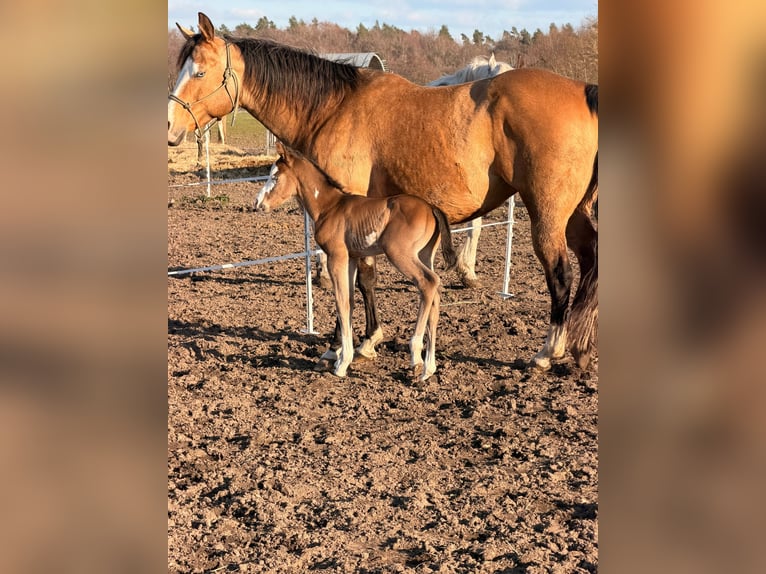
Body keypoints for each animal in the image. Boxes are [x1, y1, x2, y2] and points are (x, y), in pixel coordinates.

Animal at [257, 143, 457, 381]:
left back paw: (416, 357)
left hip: (400, 254)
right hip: (425, 255)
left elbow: (341, 302)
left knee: (428, 283)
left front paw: (342, 363)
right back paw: (429, 368)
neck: (330, 207)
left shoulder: (337, 257)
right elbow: (351, 301)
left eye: (275, 176)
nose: (258, 203)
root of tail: (431, 208)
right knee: (435, 290)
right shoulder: (351, 258)